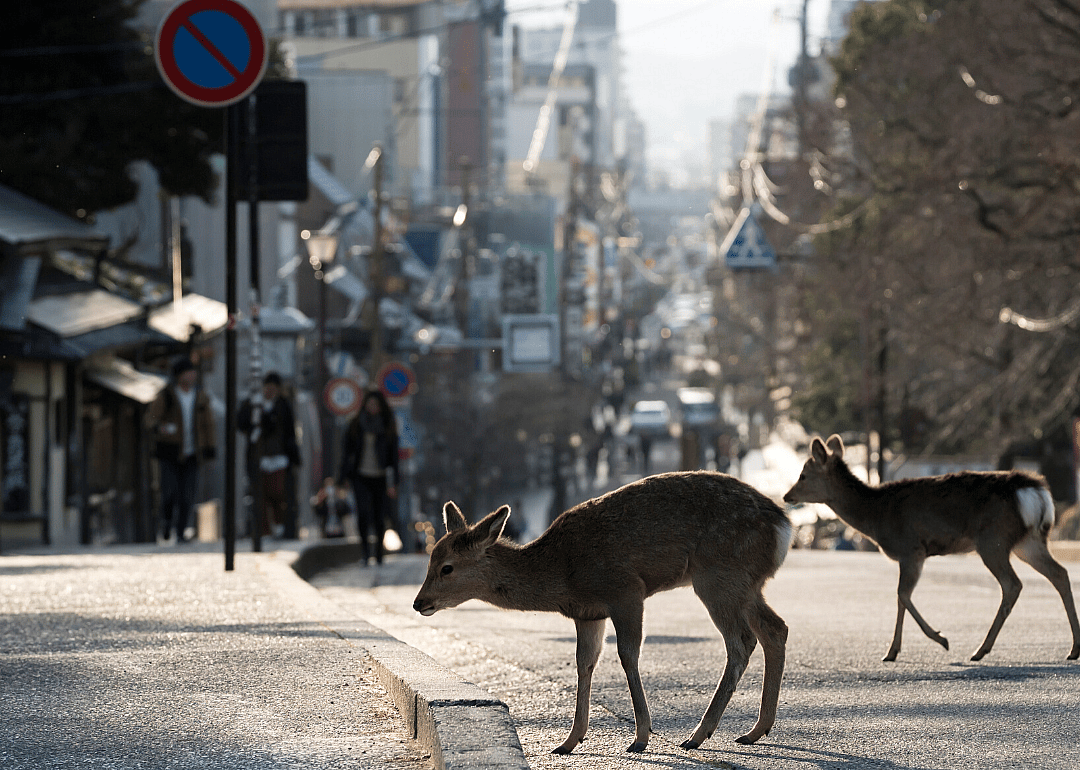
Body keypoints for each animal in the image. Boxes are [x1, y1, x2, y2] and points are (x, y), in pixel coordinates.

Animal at [412, 471, 794, 755]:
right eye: (430, 559)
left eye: (446, 567)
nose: (419, 603)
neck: (562, 573)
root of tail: (784, 527)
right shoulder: (588, 613)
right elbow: (585, 662)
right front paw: (569, 741)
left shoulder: (626, 591)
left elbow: (627, 654)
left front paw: (640, 737)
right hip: (746, 584)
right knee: (775, 628)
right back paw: (755, 730)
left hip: (719, 575)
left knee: (741, 641)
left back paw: (699, 735)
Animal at [784, 434, 1080, 663]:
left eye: (803, 475)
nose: (787, 496)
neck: (876, 515)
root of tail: (1035, 491)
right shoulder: (911, 555)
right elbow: (900, 598)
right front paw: (892, 651)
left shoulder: (911, 549)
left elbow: (902, 595)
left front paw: (940, 639)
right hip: (1027, 541)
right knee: (1060, 574)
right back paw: (1074, 648)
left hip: (992, 540)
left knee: (1013, 584)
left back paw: (980, 650)